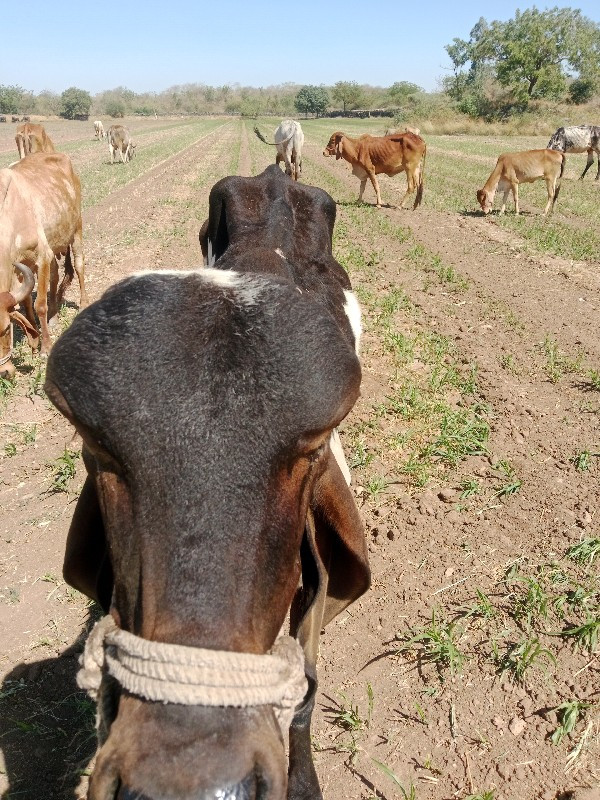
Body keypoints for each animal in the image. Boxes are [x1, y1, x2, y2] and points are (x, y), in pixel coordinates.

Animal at [0, 153, 88, 376]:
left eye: (6, 328)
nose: (4, 372)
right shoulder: (20, 268)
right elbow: (26, 306)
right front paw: (34, 345)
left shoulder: (42, 255)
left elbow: (39, 305)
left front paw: (45, 348)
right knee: (55, 277)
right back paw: (55, 316)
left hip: (76, 228)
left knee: (79, 264)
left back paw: (83, 302)